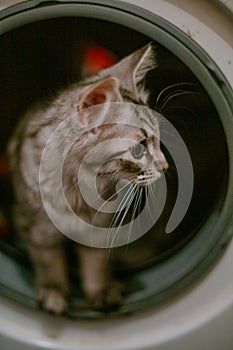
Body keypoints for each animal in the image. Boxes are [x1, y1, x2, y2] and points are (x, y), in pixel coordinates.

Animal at [7, 43, 167, 314]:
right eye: (138, 150)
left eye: (157, 140)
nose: (165, 166)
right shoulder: (34, 225)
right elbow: (48, 259)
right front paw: (53, 289)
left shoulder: (101, 227)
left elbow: (96, 263)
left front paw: (100, 290)